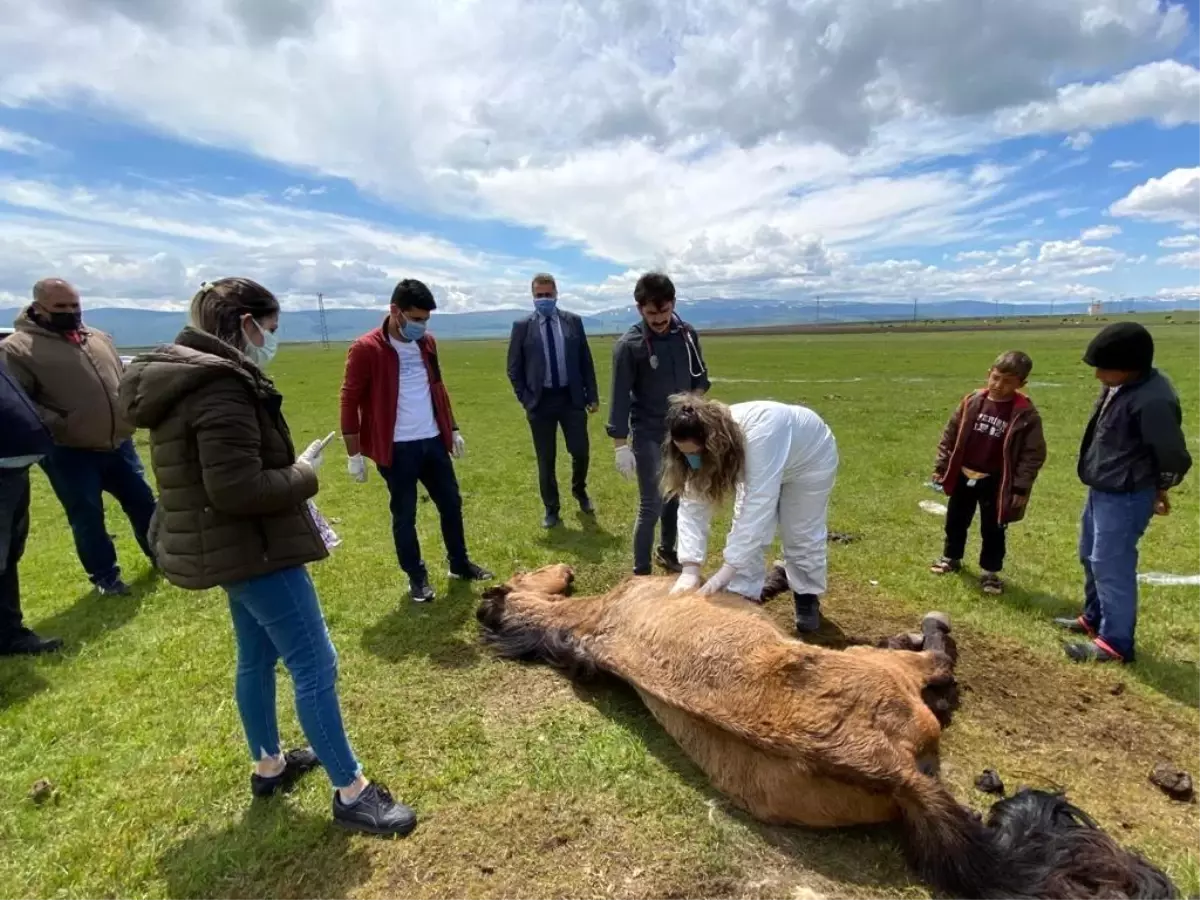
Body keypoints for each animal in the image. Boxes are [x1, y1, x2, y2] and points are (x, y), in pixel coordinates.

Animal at [472, 566, 1176, 897]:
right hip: (892, 673)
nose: (560, 568)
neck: (592, 621)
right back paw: (929, 634)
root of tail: (892, 770)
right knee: (937, 662)